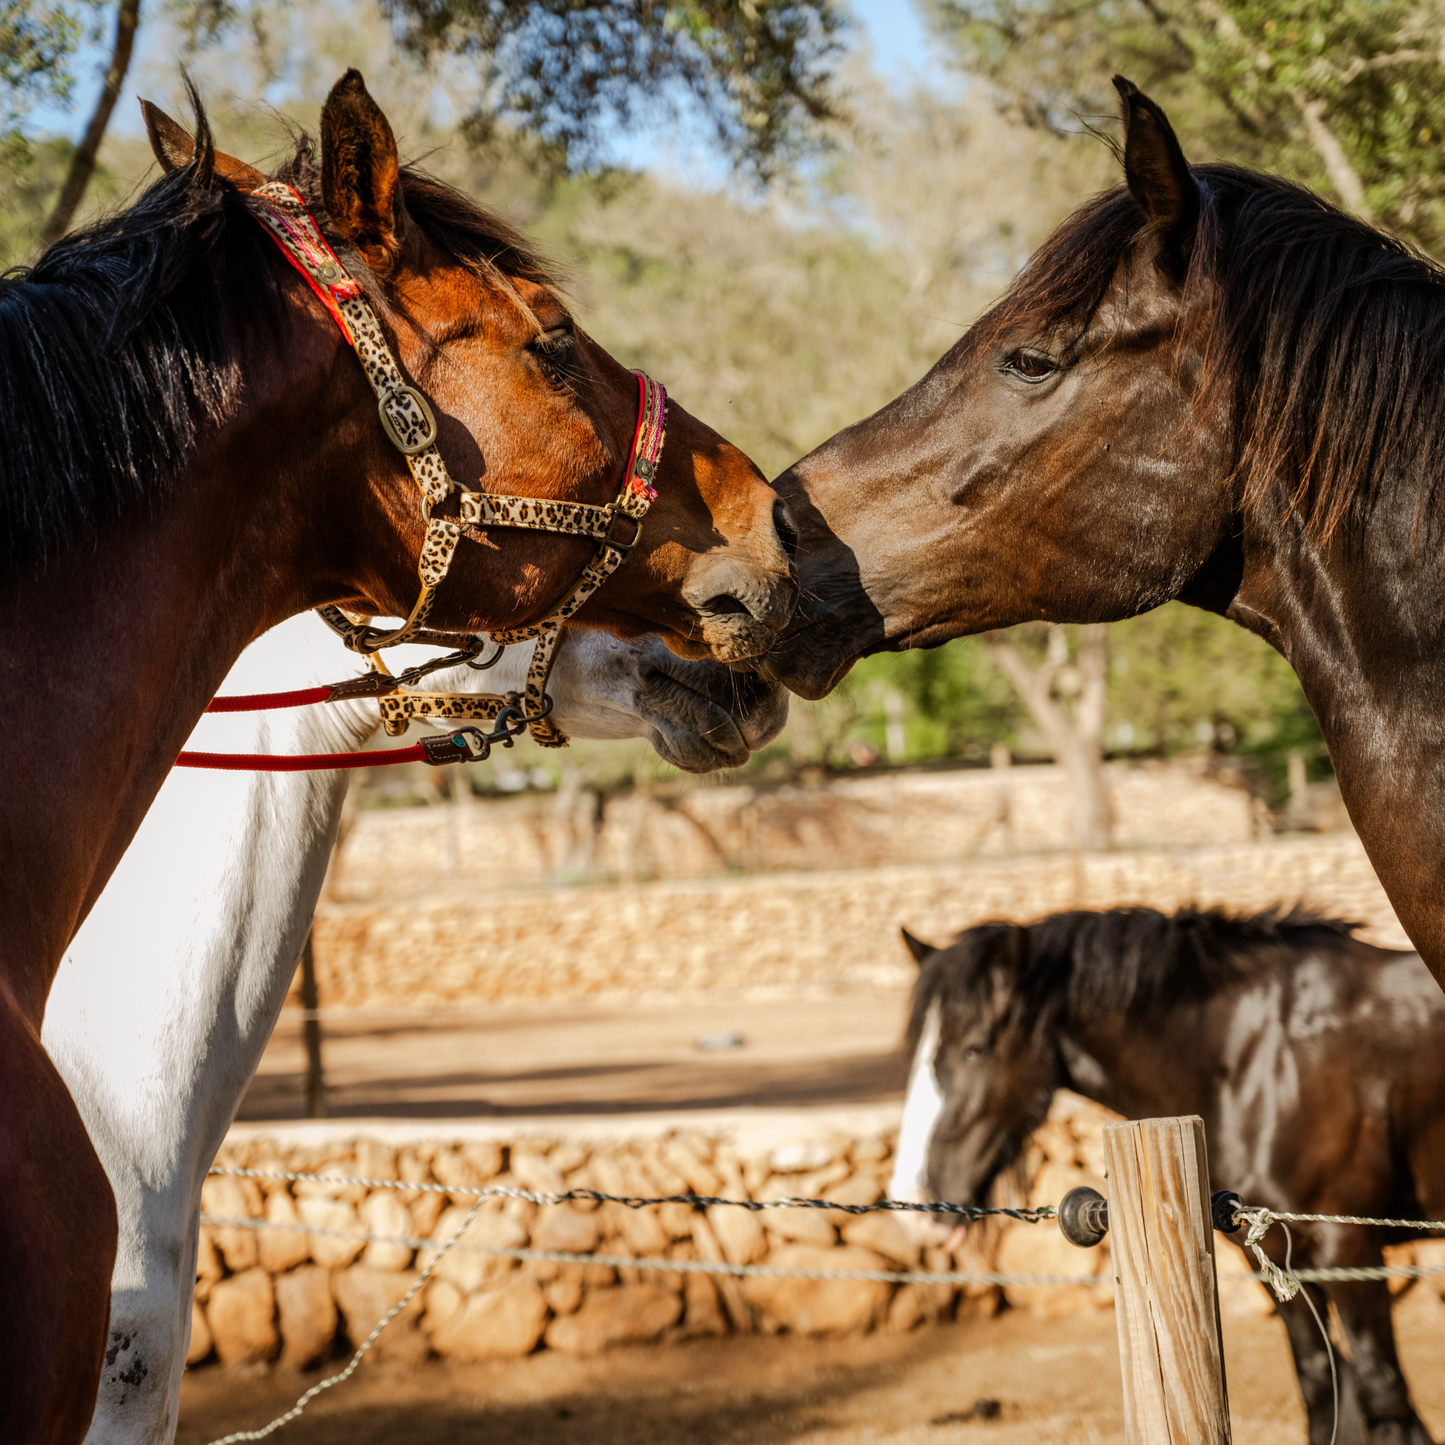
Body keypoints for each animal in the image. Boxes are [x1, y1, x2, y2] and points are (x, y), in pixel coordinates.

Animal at [890, 907, 1445, 1445]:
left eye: (975, 1048)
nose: (916, 1204)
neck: (1260, 1058)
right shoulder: (1274, 1254)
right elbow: (1322, 1390)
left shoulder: (1346, 1249)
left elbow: (1385, 1398)